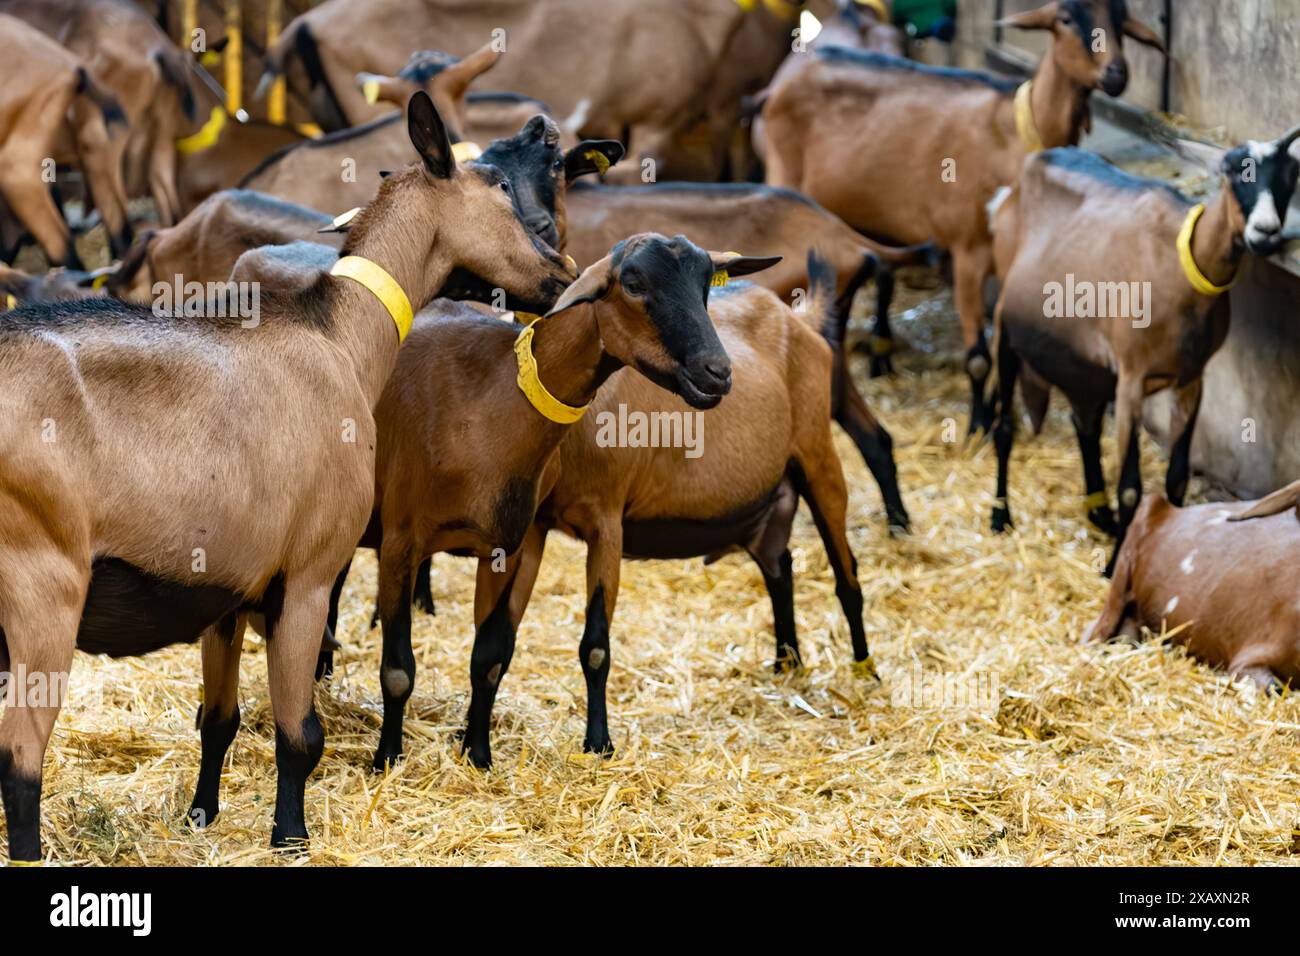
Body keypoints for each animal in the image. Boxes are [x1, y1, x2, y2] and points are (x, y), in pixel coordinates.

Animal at [0, 93, 574, 863]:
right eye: (502, 188)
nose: (561, 273)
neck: (340, 338)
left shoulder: (226, 589)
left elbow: (218, 718)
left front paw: (202, 815)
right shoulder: (307, 576)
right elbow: (300, 735)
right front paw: (291, 835)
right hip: (44, 591)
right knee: (21, 760)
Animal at [759, 0, 1164, 434]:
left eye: (1121, 19)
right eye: (1066, 19)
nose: (1116, 74)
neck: (1017, 132)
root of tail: (780, 84)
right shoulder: (967, 250)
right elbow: (979, 359)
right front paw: (977, 426)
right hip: (783, 171)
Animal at [982, 135, 1300, 567]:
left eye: (1291, 173)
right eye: (1233, 171)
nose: (1265, 232)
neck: (1180, 263)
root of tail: (1010, 192)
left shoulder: (1192, 379)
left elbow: (1177, 477)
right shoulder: (1132, 377)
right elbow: (1131, 486)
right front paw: (1115, 562)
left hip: (1082, 359)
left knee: (1085, 424)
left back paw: (1100, 515)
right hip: (1006, 324)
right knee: (1004, 428)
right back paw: (1000, 516)